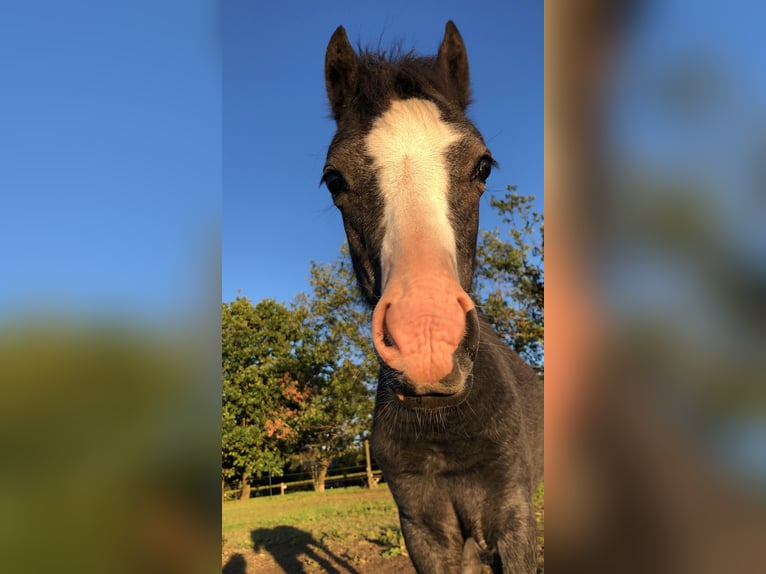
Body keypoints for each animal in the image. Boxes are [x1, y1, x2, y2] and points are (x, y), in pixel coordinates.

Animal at [324, 20, 544, 572]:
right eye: (334, 179)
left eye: (483, 166)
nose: (426, 340)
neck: (445, 429)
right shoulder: (424, 530)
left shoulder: (514, 520)